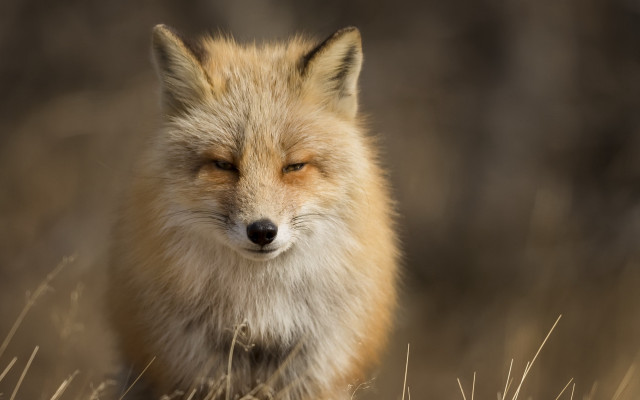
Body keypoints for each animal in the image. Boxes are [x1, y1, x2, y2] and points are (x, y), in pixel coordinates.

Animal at [107, 24, 399, 400]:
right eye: (224, 165)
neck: (260, 312)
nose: (262, 231)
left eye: (294, 166)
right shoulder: (191, 363)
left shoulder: (316, 365)